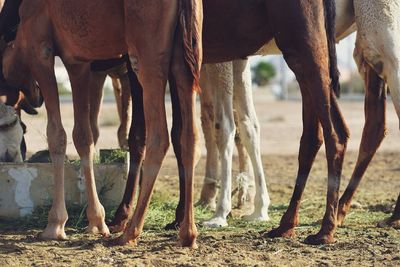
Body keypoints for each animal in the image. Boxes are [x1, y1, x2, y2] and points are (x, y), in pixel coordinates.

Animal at [1, 0, 203, 248]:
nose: (35, 98)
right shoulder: (76, 60)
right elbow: (83, 136)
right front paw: (97, 222)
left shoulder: (40, 47)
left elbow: (57, 134)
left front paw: (55, 225)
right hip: (185, 57)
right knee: (190, 136)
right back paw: (187, 234)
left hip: (147, 53)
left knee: (159, 137)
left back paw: (129, 232)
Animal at [110, 0, 350, 247]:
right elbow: (178, 134)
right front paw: (178, 217)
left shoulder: (140, 55)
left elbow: (139, 135)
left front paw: (121, 217)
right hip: (300, 52)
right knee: (314, 135)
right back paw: (285, 226)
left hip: (303, 44)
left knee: (334, 132)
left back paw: (325, 230)